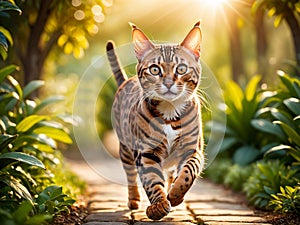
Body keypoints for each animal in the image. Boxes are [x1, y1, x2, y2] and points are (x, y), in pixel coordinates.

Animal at [105, 22, 204, 220]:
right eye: (155, 69)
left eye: (181, 69)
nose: (168, 83)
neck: (170, 112)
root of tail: (126, 80)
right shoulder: (146, 153)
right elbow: (152, 180)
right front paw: (158, 204)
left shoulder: (192, 149)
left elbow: (188, 172)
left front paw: (175, 194)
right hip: (125, 149)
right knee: (130, 175)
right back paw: (134, 199)